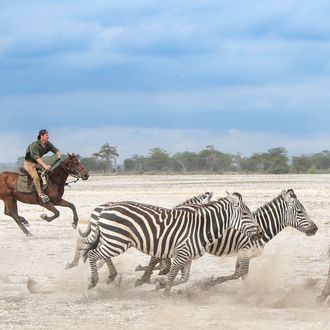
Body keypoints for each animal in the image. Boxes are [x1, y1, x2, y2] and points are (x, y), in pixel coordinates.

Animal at [80, 192, 262, 292]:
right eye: (245, 214)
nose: (260, 233)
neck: (201, 227)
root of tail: (105, 208)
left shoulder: (188, 256)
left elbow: (184, 278)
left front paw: (160, 285)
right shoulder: (181, 253)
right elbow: (173, 272)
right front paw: (165, 290)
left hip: (112, 240)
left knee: (98, 254)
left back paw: (109, 276)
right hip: (116, 241)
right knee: (92, 254)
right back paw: (94, 281)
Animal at [137, 188, 318, 288]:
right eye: (300, 211)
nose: (315, 229)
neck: (262, 226)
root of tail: (180, 207)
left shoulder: (242, 253)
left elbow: (236, 273)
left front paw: (210, 283)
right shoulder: (245, 251)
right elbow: (242, 273)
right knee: (156, 255)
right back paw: (144, 278)